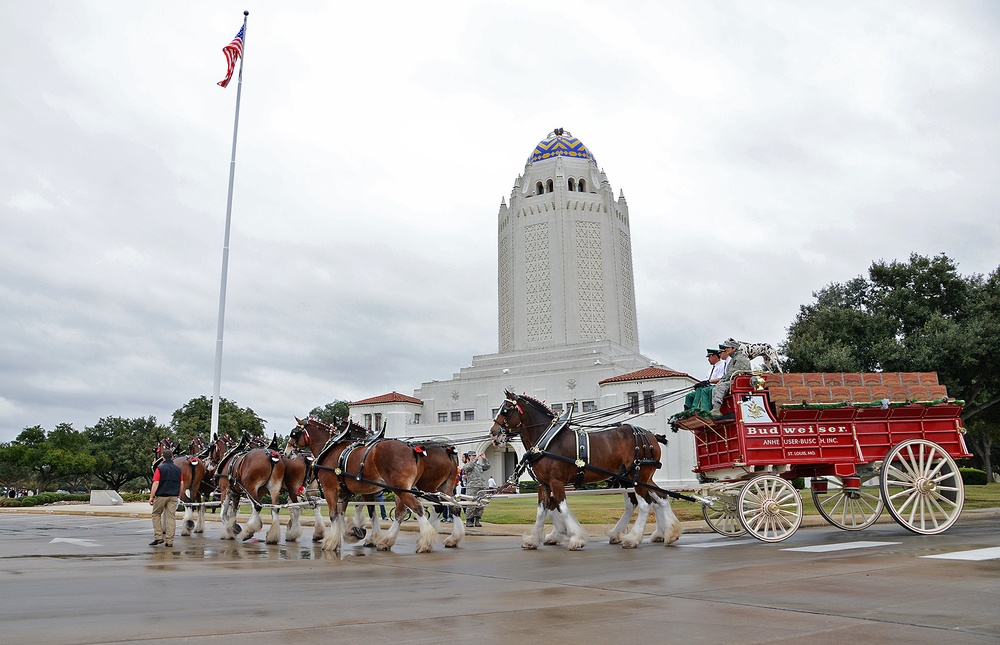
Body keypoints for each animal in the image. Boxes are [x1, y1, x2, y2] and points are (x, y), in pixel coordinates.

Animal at [490, 388, 684, 548]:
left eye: (506, 410)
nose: (493, 433)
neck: (547, 440)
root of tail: (650, 435)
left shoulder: (556, 482)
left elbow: (562, 508)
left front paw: (575, 538)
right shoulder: (543, 484)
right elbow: (542, 511)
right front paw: (533, 540)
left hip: (639, 476)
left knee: (645, 503)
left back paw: (633, 538)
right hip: (636, 477)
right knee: (659, 498)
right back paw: (668, 533)